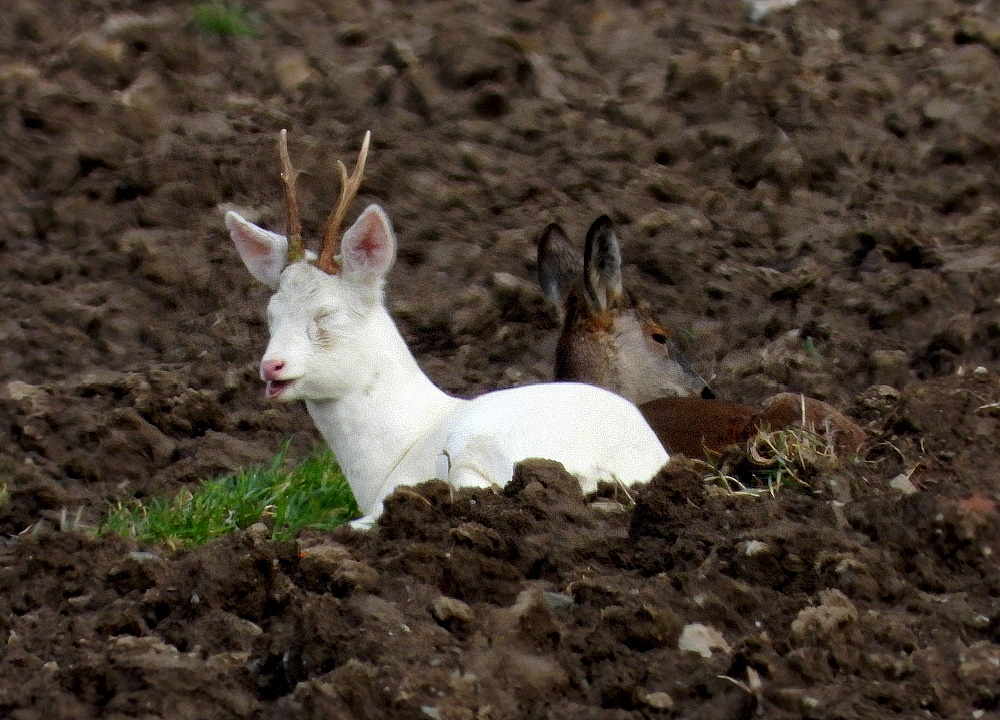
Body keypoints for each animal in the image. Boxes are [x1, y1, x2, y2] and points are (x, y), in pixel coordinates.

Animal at [223, 132, 668, 528]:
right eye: (271, 314)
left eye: (327, 314)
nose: (271, 366)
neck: (393, 453)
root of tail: (617, 469)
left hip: (480, 448)